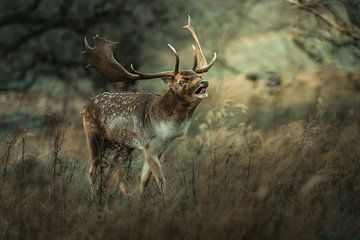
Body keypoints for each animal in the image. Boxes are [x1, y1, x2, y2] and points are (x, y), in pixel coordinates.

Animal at [82, 15, 217, 197]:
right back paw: (93, 197)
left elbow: (144, 180)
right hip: (93, 135)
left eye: (198, 76)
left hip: (124, 145)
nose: (204, 82)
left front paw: (141, 200)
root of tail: (85, 106)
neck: (165, 127)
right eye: (181, 81)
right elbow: (160, 179)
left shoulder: (160, 148)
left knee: (113, 168)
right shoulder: (147, 145)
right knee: (93, 170)